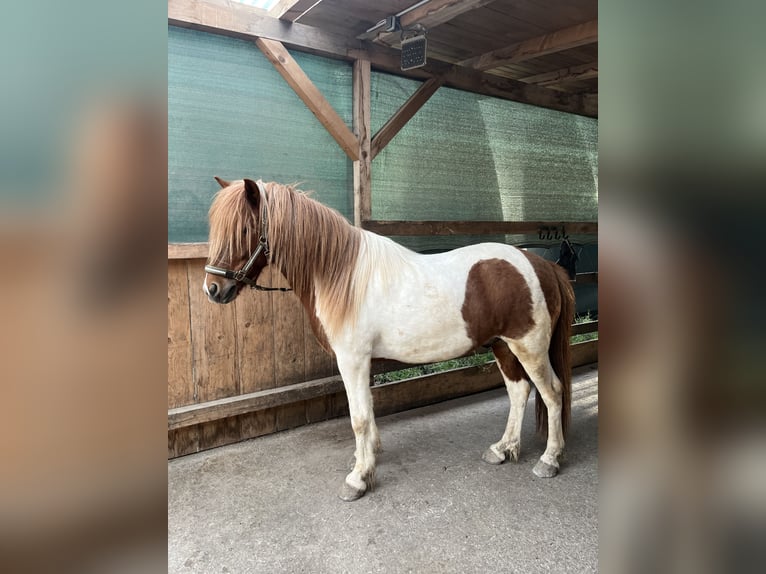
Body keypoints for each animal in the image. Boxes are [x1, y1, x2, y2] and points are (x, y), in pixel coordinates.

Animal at [203, 178, 575, 501]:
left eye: (244, 230)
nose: (213, 289)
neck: (340, 275)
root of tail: (542, 265)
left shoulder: (352, 360)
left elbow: (358, 417)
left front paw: (358, 478)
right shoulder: (362, 361)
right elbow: (367, 411)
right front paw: (366, 459)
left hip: (529, 347)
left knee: (552, 393)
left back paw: (549, 459)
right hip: (502, 345)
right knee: (519, 391)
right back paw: (503, 448)